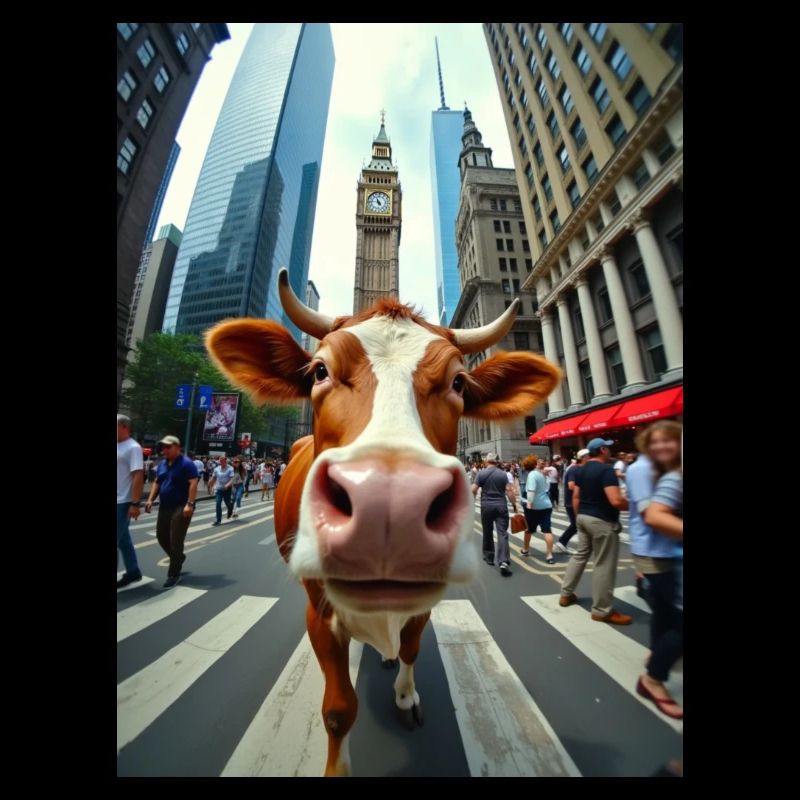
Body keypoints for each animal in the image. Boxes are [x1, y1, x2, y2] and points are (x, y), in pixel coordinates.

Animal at [206, 268, 560, 776]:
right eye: (319, 371)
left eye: (458, 381)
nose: (389, 506)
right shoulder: (319, 615)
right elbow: (338, 709)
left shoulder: (423, 606)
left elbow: (410, 650)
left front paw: (406, 697)